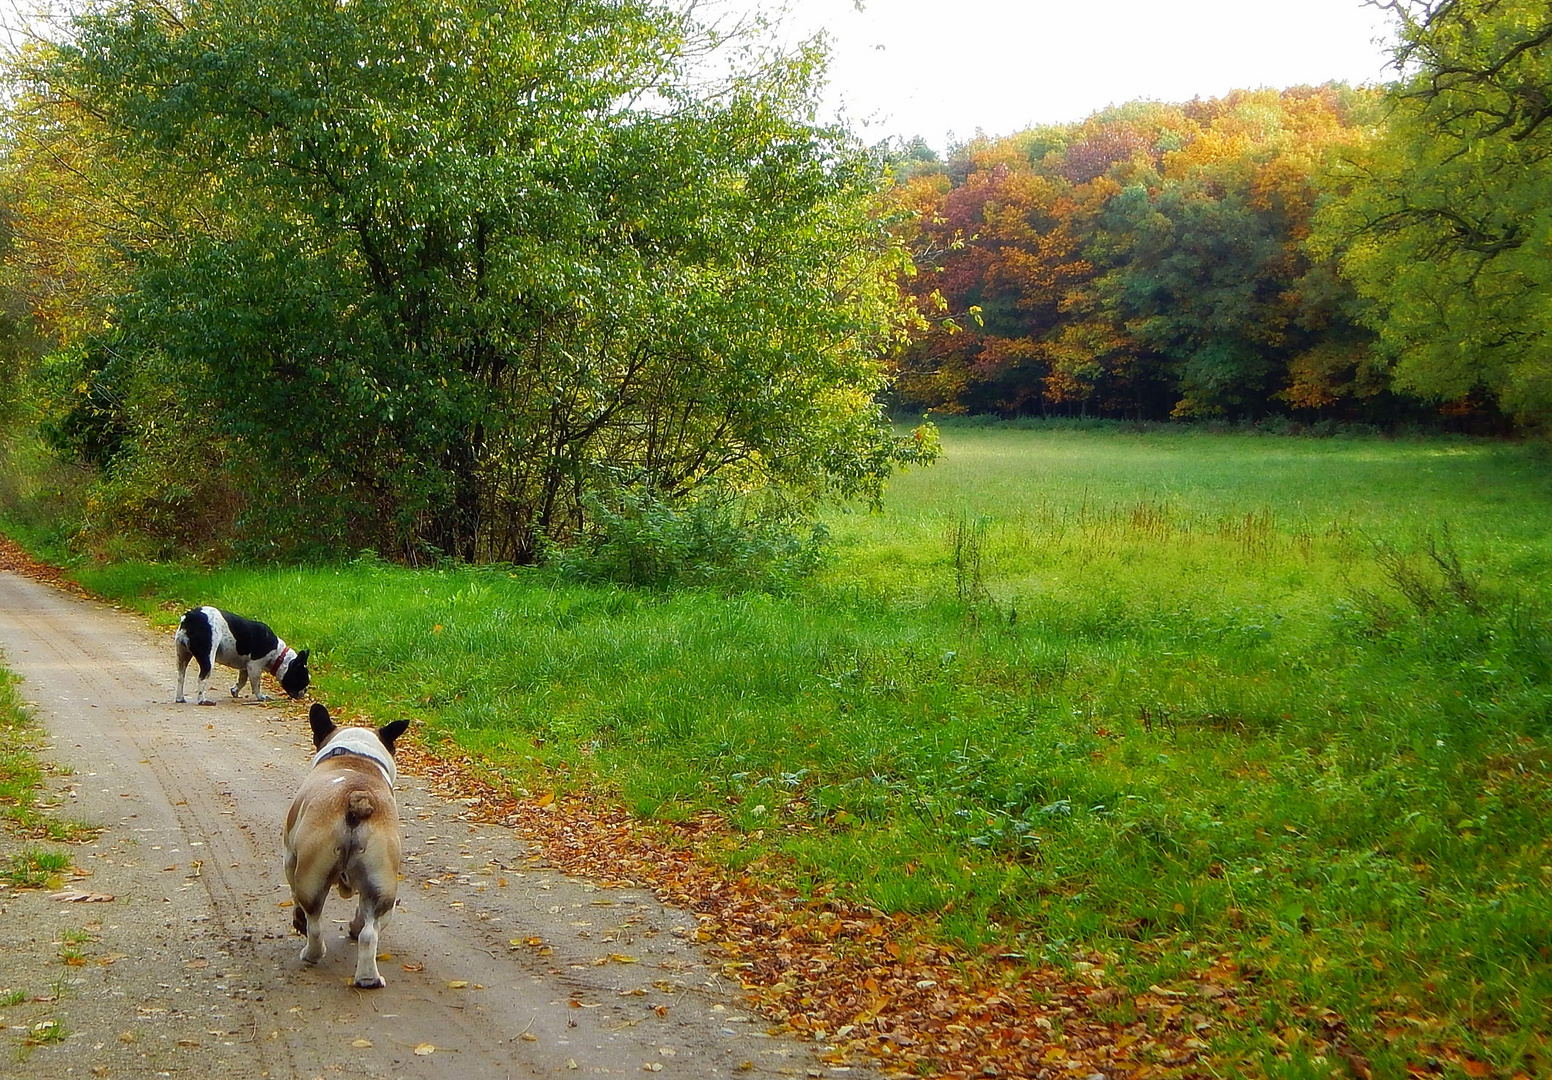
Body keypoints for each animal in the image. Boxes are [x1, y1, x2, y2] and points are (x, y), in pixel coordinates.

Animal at [174, 608, 310, 707]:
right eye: (303, 680)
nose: (305, 691)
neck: (279, 655)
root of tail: (191, 616)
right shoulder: (254, 667)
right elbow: (256, 684)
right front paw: (261, 697)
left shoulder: (246, 667)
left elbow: (242, 680)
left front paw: (235, 690)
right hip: (208, 657)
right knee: (201, 678)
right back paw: (202, 700)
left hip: (182, 655)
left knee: (181, 676)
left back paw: (180, 698)